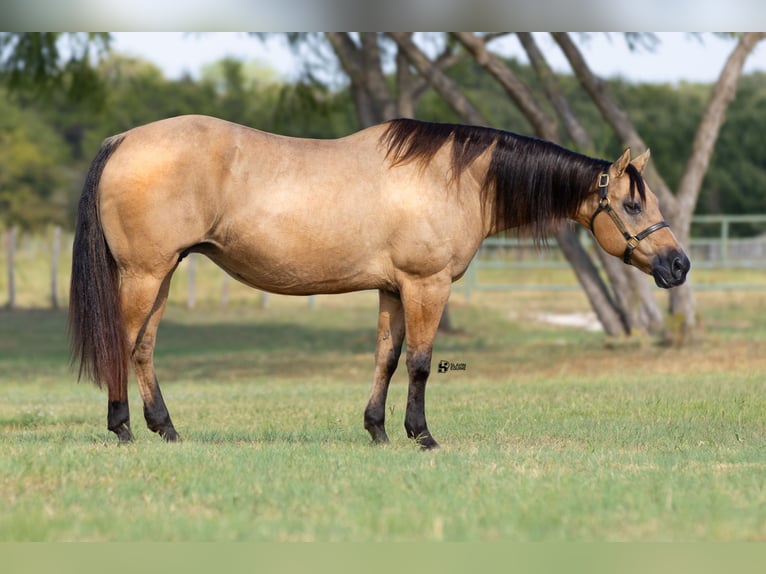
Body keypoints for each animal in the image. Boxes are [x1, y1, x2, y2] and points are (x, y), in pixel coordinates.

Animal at [69, 115, 690, 449]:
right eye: (633, 204)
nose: (678, 265)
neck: (453, 179)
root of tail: (123, 140)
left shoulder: (393, 289)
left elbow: (386, 358)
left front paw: (378, 431)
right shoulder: (426, 285)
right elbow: (419, 361)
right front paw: (422, 435)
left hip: (163, 273)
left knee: (144, 347)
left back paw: (166, 429)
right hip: (146, 273)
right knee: (123, 343)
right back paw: (123, 429)